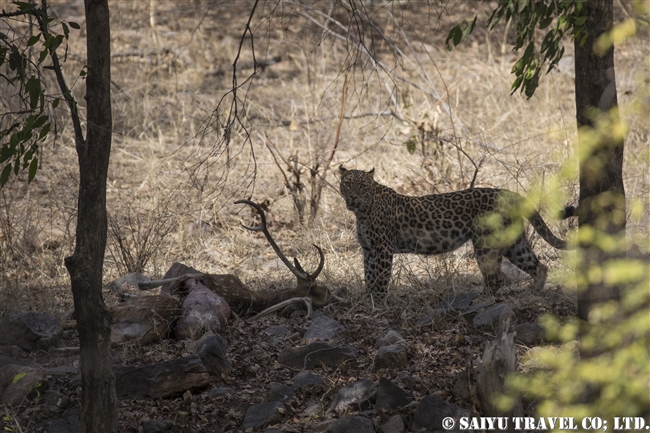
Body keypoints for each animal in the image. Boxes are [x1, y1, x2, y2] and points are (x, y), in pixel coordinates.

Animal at [336, 164, 568, 296]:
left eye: (362, 186)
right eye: (347, 184)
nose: (353, 197)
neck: (362, 211)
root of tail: (509, 194)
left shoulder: (382, 249)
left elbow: (380, 279)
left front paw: (378, 304)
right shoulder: (368, 250)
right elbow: (369, 276)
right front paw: (367, 300)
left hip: (486, 245)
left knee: (495, 279)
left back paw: (482, 301)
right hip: (514, 243)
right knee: (539, 267)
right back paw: (533, 293)